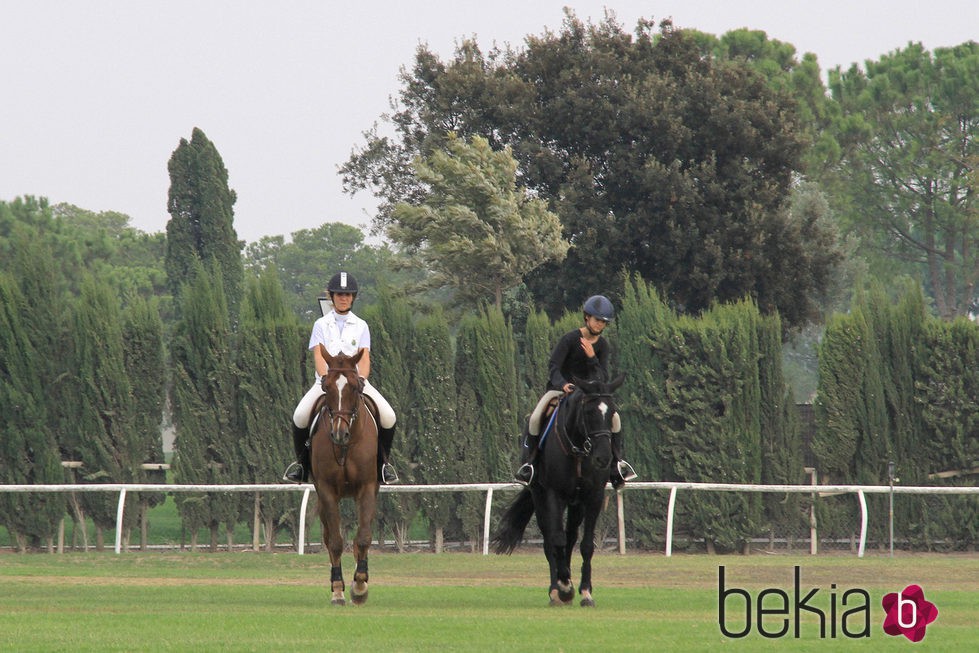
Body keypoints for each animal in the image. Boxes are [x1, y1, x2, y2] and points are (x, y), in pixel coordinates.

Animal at [310, 344, 378, 604]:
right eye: (326, 387)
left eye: (354, 387)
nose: (339, 434)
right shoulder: (327, 491)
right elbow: (336, 543)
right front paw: (339, 589)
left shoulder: (368, 487)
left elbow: (364, 538)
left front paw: (359, 586)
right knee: (329, 537)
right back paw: (336, 587)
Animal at [494, 372, 624, 608]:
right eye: (589, 412)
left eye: (611, 412)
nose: (603, 458)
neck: (579, 449)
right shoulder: (553, 495)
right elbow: (556, 540)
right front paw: (564, 587)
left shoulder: (593, 496)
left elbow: (586, 544)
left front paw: (585, 592)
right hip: (540, 497)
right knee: (550, 541)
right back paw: (557, 590)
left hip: (575, 504)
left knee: (571, 537)